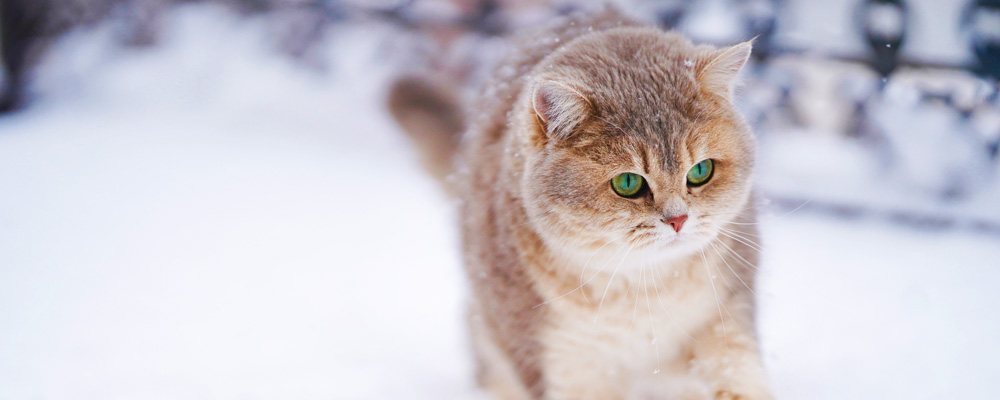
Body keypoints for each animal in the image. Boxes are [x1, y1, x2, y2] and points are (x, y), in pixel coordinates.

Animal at [386, 10, 768, 400]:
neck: (643, 290)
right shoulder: (562, 362)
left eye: (701, 171)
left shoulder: (727, 313)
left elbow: (738, 377)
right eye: (627, 183)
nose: (678, 220)